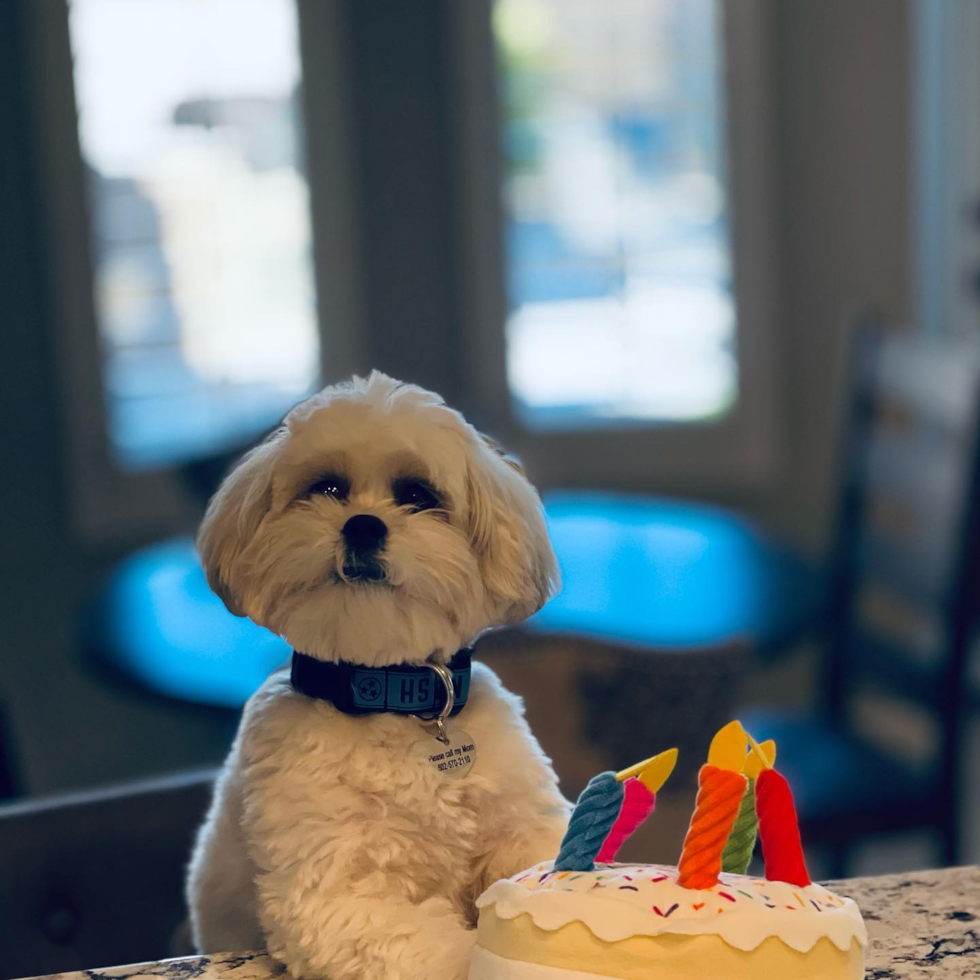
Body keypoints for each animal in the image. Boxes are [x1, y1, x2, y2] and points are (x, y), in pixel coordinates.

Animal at [188, 376, 572, 980]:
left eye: (418, 495)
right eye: (327, 487)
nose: (362, 524)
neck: (392, 694)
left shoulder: (526, 829)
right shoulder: (339, 902)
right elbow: (449, 955)